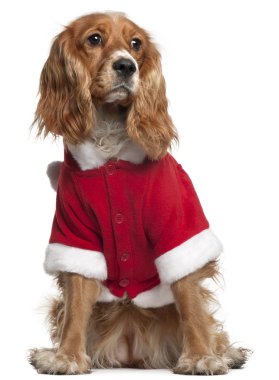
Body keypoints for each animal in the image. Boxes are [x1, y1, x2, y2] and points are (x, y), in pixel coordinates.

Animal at [29, 11, 252, 374]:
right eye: (94, 39)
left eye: (136, 44)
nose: (126, 66)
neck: (111, 147)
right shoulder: (74, 234)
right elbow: (76, 305)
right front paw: (67, 357)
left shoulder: (177, 226)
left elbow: (190, 300)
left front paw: (200, 357)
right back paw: (49, 351)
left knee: (206, 319)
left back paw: (226, 352)